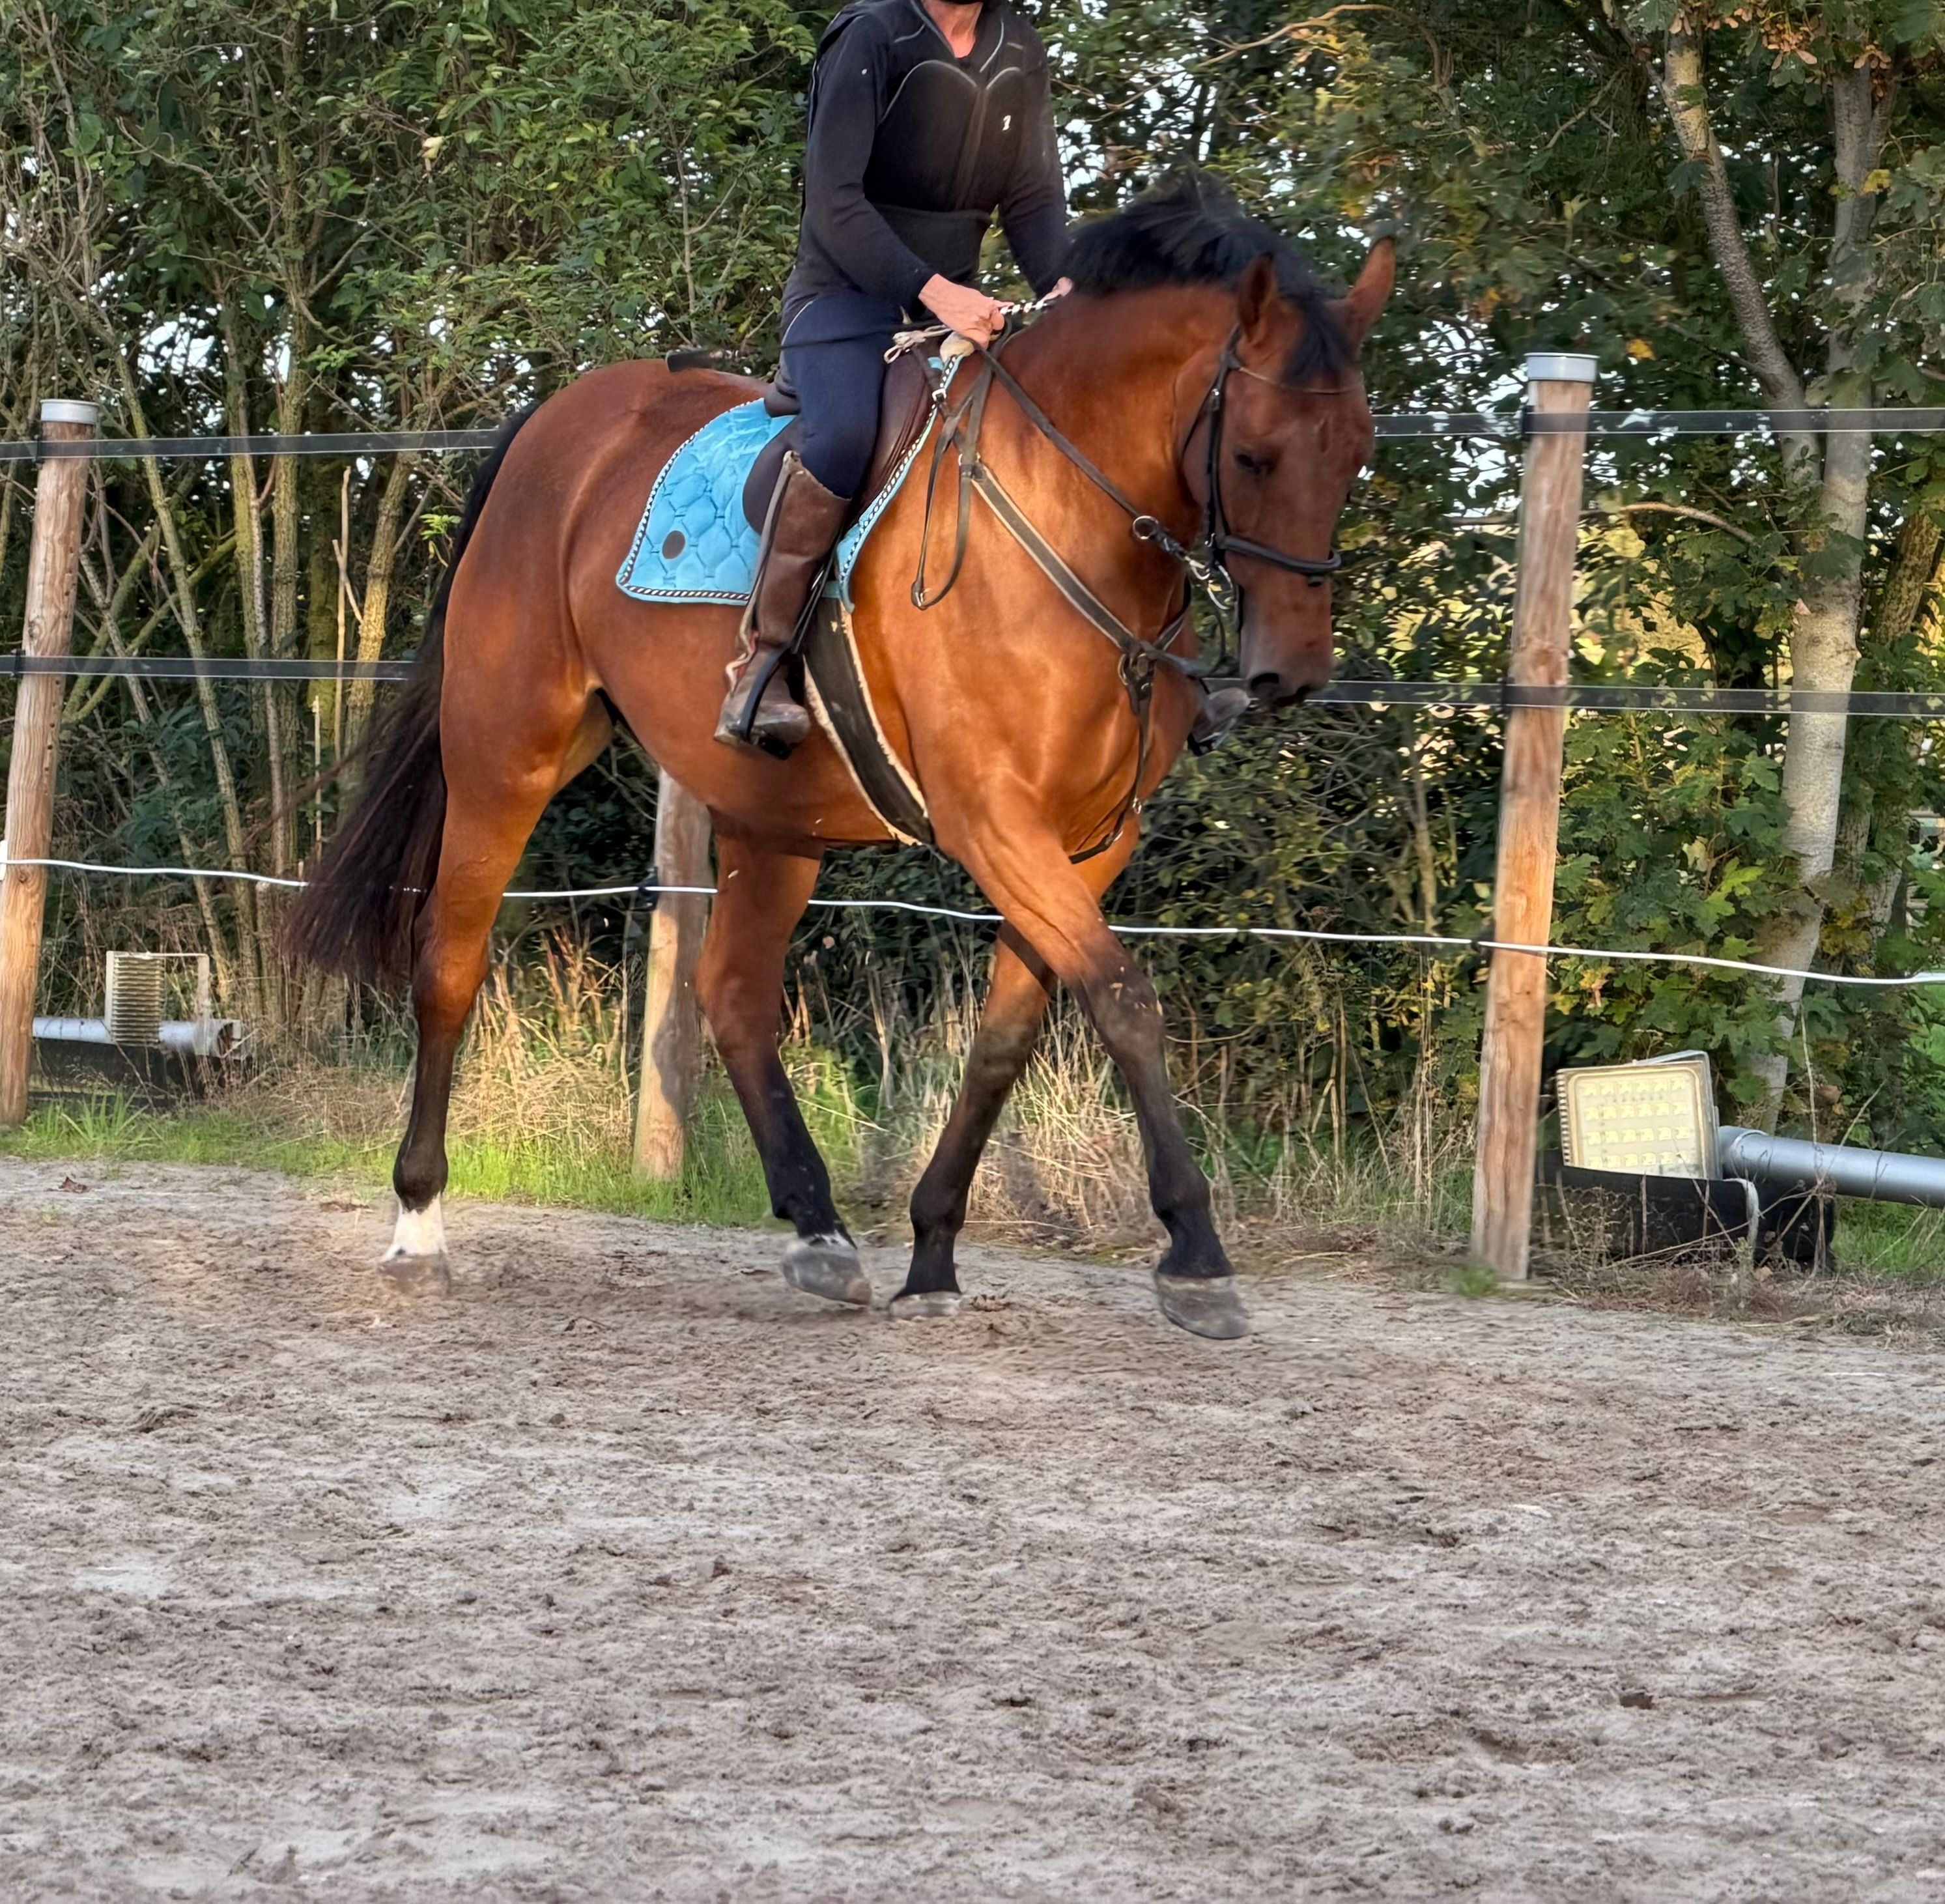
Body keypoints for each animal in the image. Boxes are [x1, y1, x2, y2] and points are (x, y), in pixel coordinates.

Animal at [283, 175, 1393, 1341]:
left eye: (1355, 451)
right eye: (1254, 453)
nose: (1289, 673)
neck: (1064, 517)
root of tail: (557, 418)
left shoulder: (1090, 841)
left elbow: (1006, 1038)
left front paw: (935, 1249)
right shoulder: (994, 819)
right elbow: (1126, 1000)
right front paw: (1194, 1254)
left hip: (770, 809)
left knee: (731, 995)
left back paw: (818, 1227)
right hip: (509, 750)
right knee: (450, 965)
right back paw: (418, 1224)